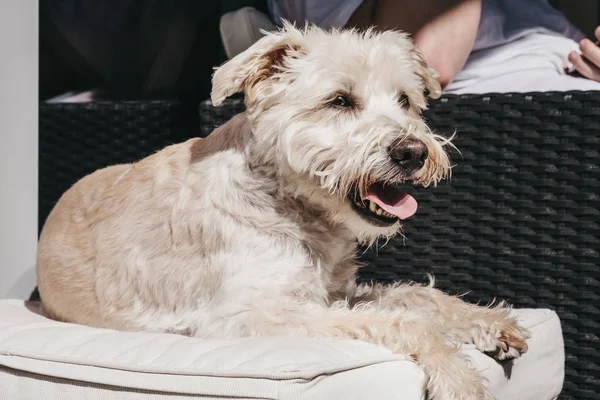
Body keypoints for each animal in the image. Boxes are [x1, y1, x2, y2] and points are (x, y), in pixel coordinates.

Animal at [37, 23, 528, 398]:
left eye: (405, 100)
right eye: (340, 100)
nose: (413, 152)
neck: (287, 202)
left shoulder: (332, 292)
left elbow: (414, 296)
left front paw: (490, 324)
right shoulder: (250, 318)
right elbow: (406, 322)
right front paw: (459, 378)